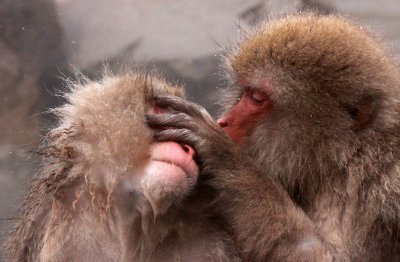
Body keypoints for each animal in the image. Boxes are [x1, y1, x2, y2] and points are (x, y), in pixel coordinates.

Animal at [146, 13, 400, 260]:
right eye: (244, 93)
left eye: (257, 99)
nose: (223, 122)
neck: (346, 158)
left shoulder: (376, 189)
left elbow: (324, 254)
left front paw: (221, 153)